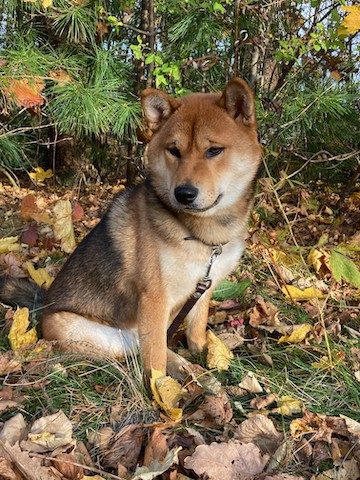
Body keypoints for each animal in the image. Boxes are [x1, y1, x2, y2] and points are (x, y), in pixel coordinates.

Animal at [1, 78, 262, 378]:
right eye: (174, 151)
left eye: (214, 150)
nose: (184, 194)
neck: (202, 235)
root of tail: (44, 305)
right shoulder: (154, 298)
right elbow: (155, 358)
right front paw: (161, 387)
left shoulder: (203, 288)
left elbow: (197, 327)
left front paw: (206, 352)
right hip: (94, 333)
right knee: (136, 349)